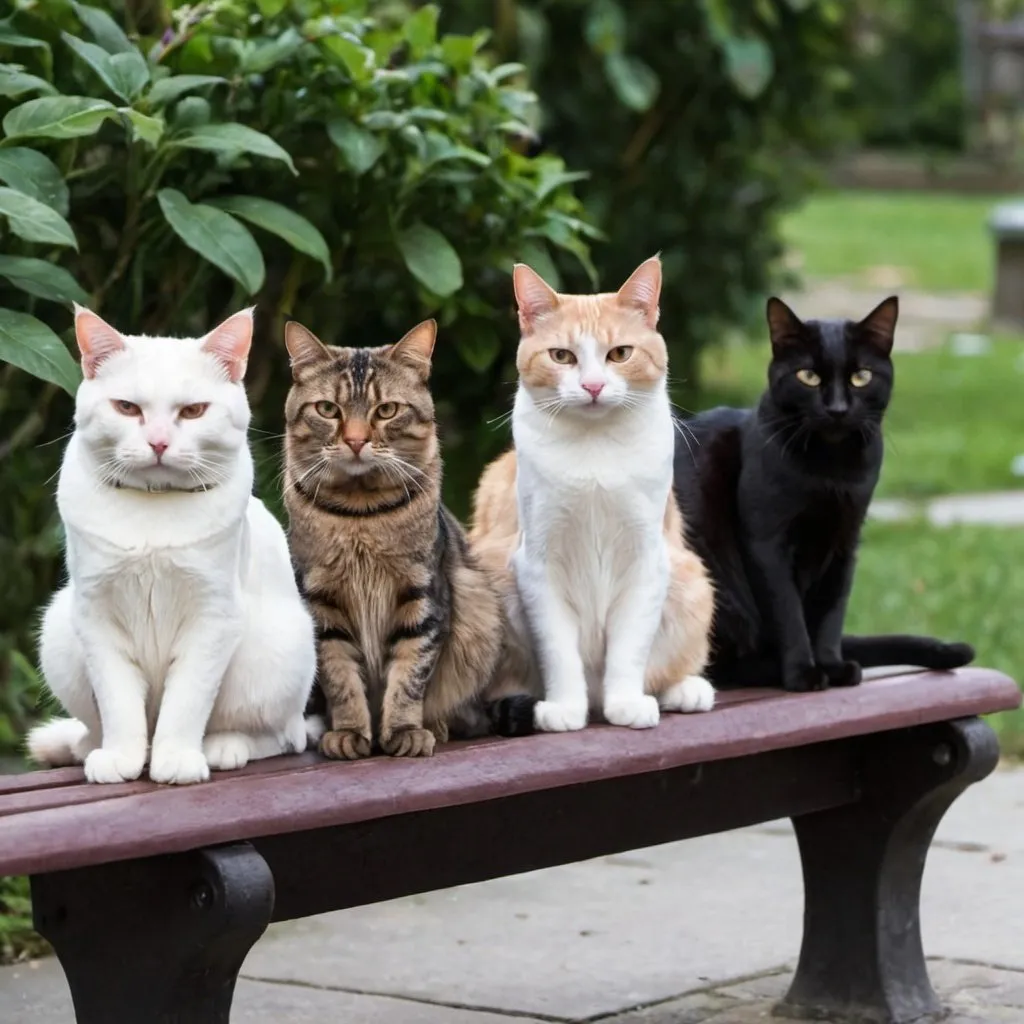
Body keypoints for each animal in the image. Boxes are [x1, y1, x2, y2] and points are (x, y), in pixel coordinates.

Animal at [29, 303, 315, 782]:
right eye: (127, 408)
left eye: (194, 411)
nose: (158, 442)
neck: (154, 510)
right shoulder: (95, 617)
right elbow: (118, 704)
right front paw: (121, 757)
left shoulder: (213, 619)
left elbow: (186, 703)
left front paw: (177, 759)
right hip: (58, 630)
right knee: (96, 724)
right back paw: (93, 747)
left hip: (278, 651)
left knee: (282, 736)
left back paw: (224, 747)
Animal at [284, 319, 503, 761]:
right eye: (327, 409)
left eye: (386, 411)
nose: (355, 440)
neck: (360, 513)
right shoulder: (322, 605)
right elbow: (340, 677)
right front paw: (349, 732)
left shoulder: (421, 595)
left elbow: (410, 674)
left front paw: (405, 730)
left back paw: (435, 726)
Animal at [468, 260, 712, 733]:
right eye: (562, 356)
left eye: (620, 354)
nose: (594, 386)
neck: (595, 449)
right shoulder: (537, 566)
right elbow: (558, 651)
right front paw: (564, 709)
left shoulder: (647, 562)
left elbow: (630, 648)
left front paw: (626, 704)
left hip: (689, 580)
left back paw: (685, 689)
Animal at [675, 296, 970, 696]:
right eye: (808, 377)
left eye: (861, 376)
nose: (837, 409)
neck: (832, 474)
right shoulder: (767, 543)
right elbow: (788, 613)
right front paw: (803, 672)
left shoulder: (846, 540)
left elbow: (831, 611)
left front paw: (830, 664)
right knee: (722, 666)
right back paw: (768, 668)